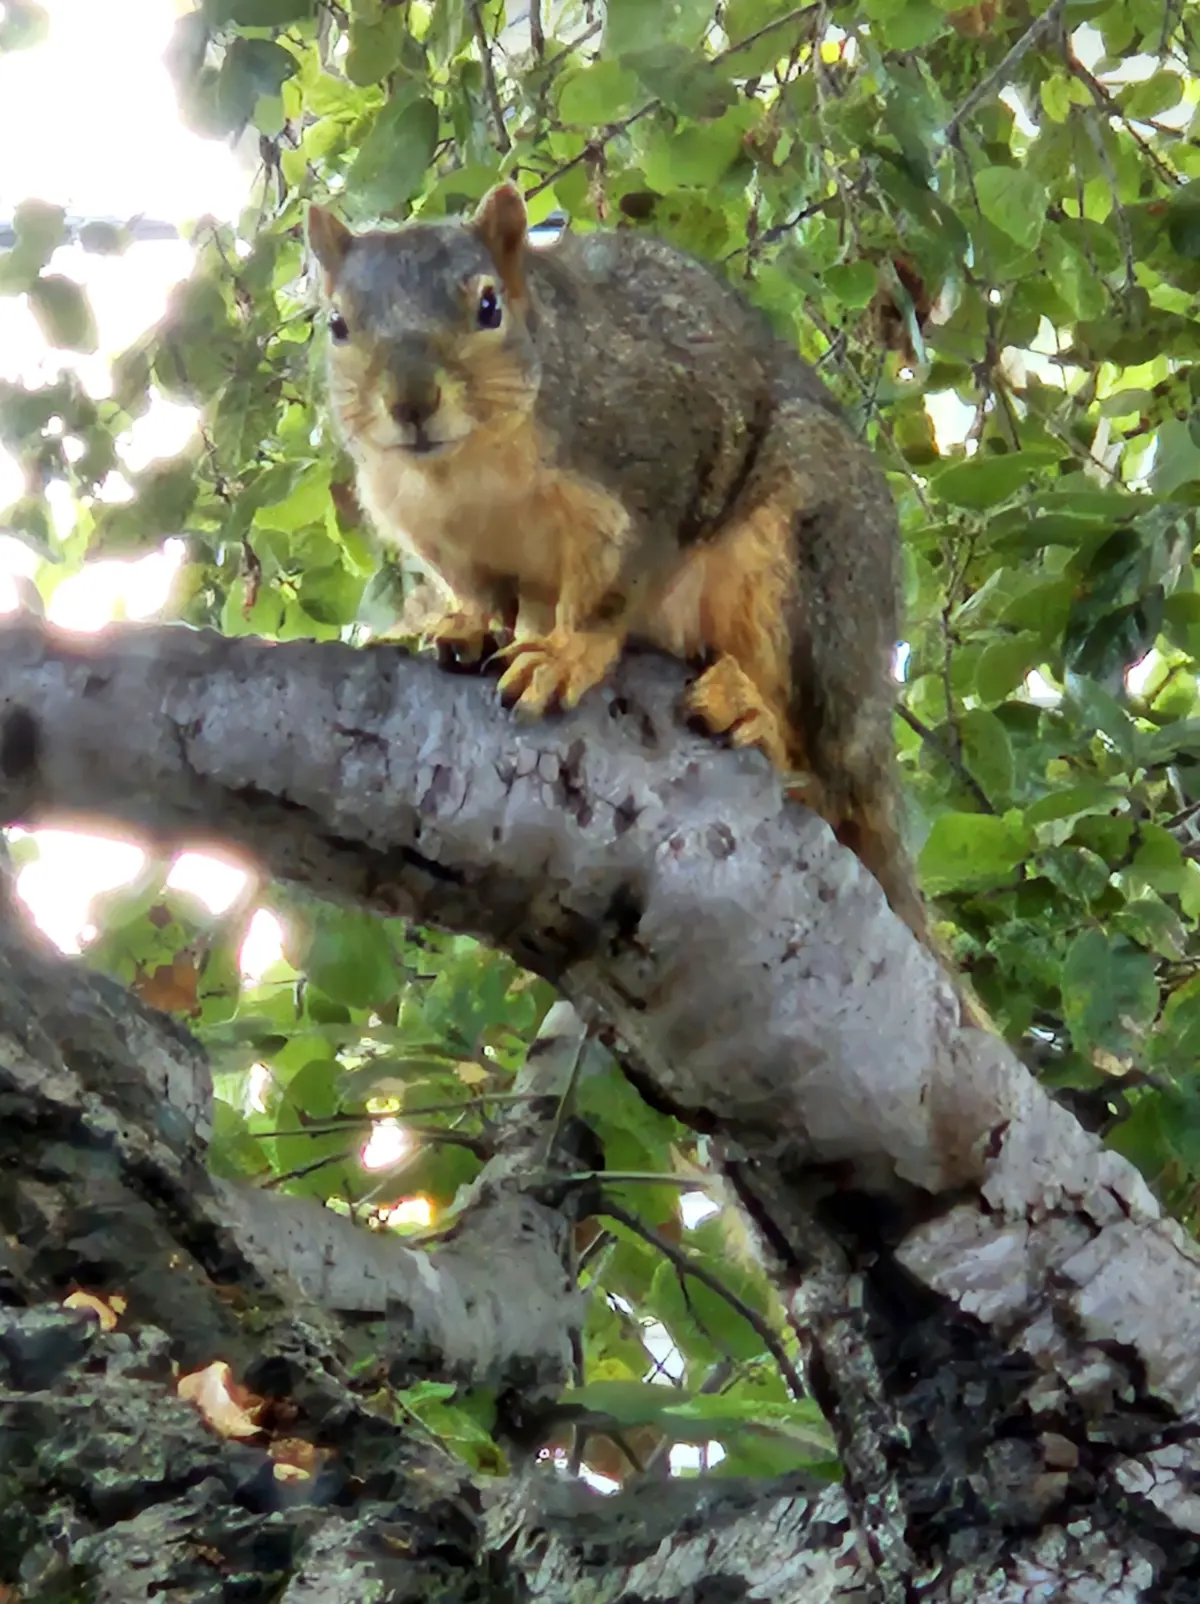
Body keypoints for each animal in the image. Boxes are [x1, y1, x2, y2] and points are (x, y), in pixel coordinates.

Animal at [306, 183, 928, 946]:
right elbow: (479, 593)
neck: (466, 471)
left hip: (804, 573)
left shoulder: (647, 468)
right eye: (337, 324)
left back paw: (750, 709)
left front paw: (564, 656)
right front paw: (465, 626)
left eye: (489, 306)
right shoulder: (437, 536)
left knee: (822, 765)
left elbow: (608, 593)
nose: (412, 401)